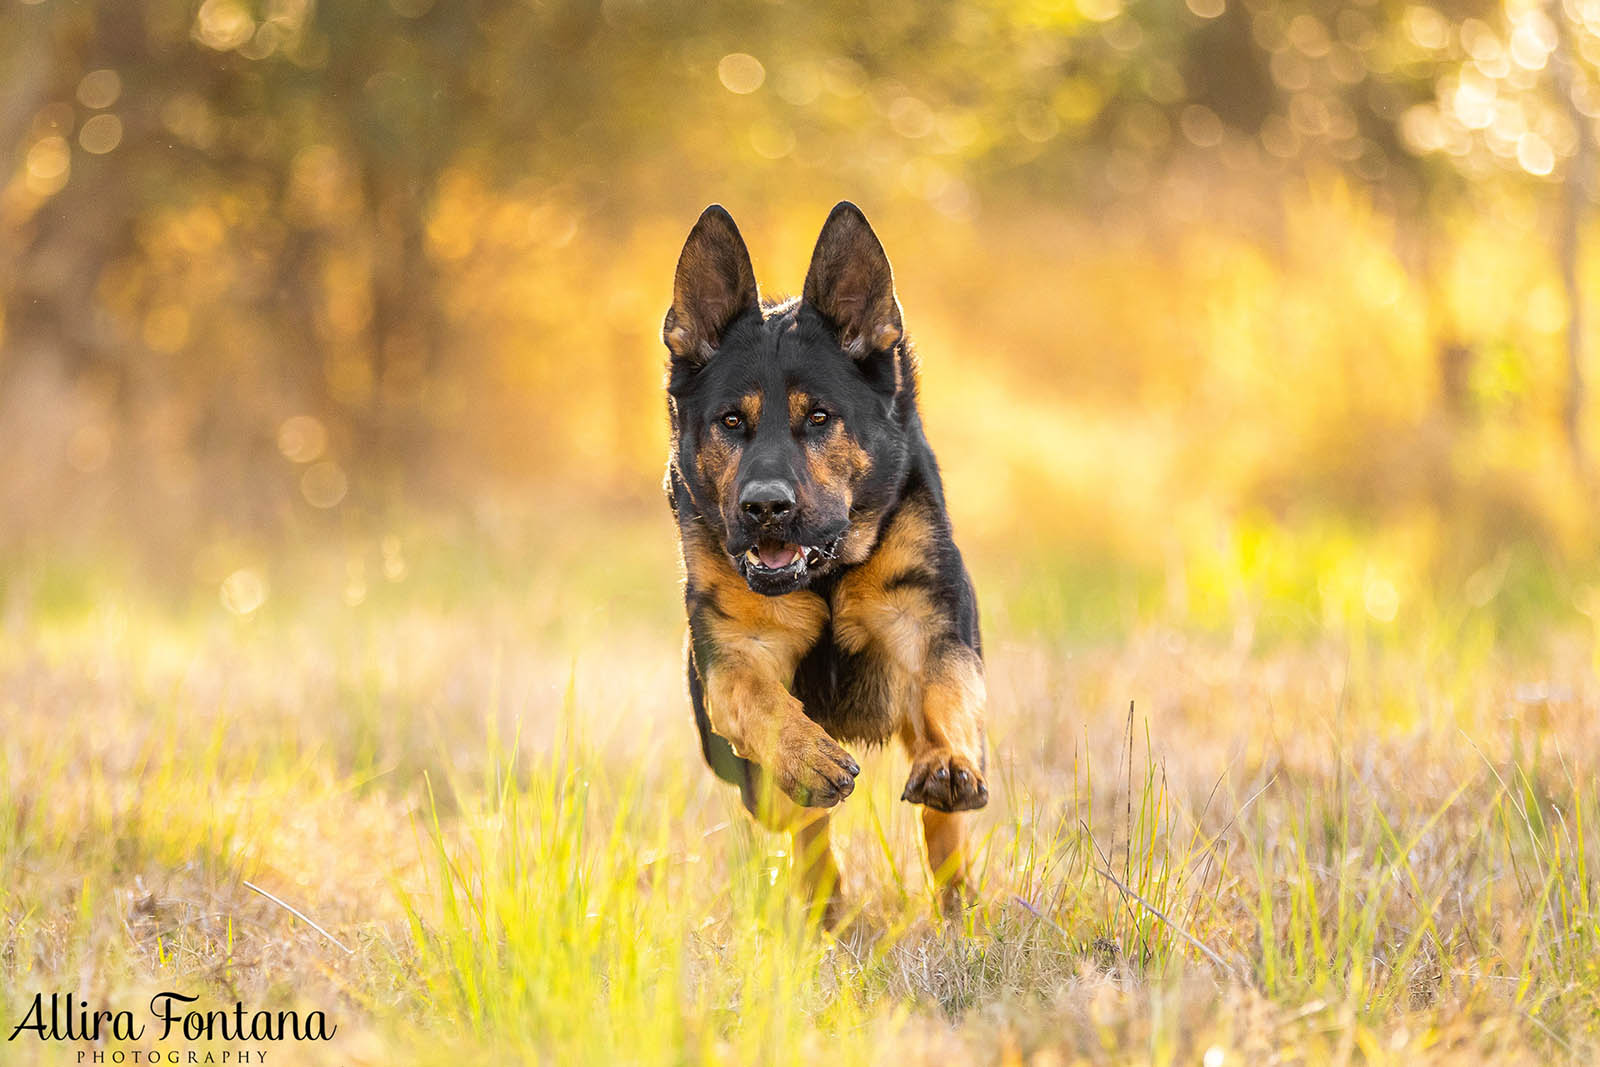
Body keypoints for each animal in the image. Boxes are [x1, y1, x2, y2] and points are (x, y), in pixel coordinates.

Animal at [662, 202, 985, 921]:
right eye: (731, 421)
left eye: (818, 418)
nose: (765, 507)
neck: (828, 574)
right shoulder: (734, 655)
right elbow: (759, 697)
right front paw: (808, 755)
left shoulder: (931, 628)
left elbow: (949, 695)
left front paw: (950, 761)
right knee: (796, 820)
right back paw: (826, 903)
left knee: (940, 823)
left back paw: (958, 902)